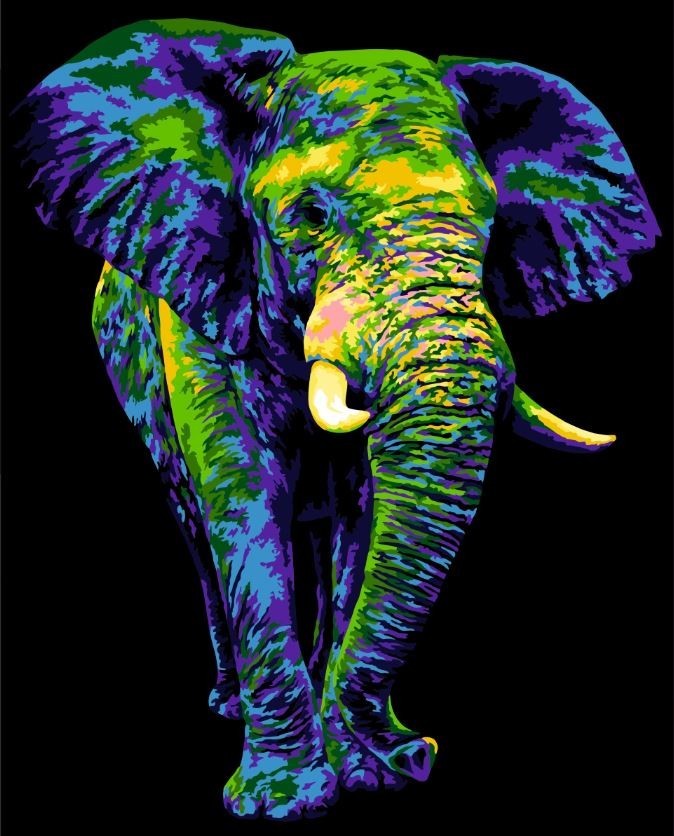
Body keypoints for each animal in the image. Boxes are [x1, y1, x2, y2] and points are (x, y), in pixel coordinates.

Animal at [16, 18, 658, 820]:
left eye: (489, 226)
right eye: (311, 217)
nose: (420, 753)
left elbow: (364, 512)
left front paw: (366, 773)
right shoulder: (200, 300)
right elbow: (245, 496)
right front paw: (284, 800)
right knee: (196, 525)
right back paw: (229, 703)